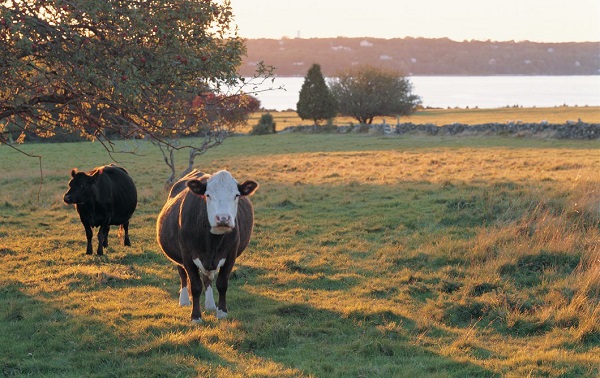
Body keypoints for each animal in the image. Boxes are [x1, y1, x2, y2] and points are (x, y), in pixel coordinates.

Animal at [155, 170, 258, 324]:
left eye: (236, 195)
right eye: (207, 195)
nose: (223, 218)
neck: (213, 242)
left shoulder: (231, 255)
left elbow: (222, 283)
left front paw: (222, 313)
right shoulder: (187, 255)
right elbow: (195, 286)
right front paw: (196, 317)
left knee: (207, 278)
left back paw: (210, 304)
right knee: (183, 274)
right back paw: (184, 300)